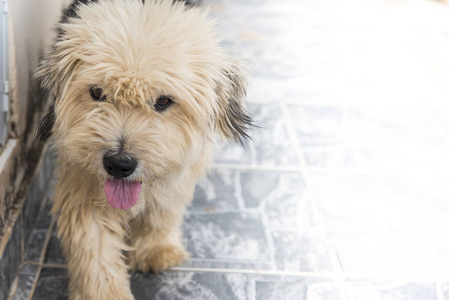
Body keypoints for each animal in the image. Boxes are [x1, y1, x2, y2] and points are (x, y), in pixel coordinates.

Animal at [36, 1, 248, 298]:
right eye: (97, 93)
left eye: (163, 101)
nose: (118, 164)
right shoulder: (80, 179)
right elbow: (94, 248)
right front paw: (104, 293)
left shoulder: (179, 168)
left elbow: (162, 209)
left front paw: (155, 248)